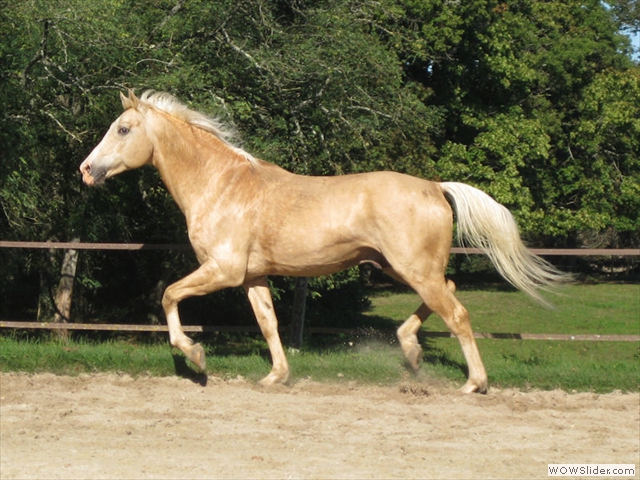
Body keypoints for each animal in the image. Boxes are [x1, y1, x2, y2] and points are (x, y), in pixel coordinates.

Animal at [80, 91, 564, 394]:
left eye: (123, 129)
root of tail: (434, 186)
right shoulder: (252, 277)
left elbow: (168, 295)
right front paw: (276, 377)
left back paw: (473, 382)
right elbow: (268, 324)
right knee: (448, 293)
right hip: (401, 268)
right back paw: (409, 350)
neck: (222, 186)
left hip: (414, 269)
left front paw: (196, 357)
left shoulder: (223, 270)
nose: (86, 170)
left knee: (458, 314)